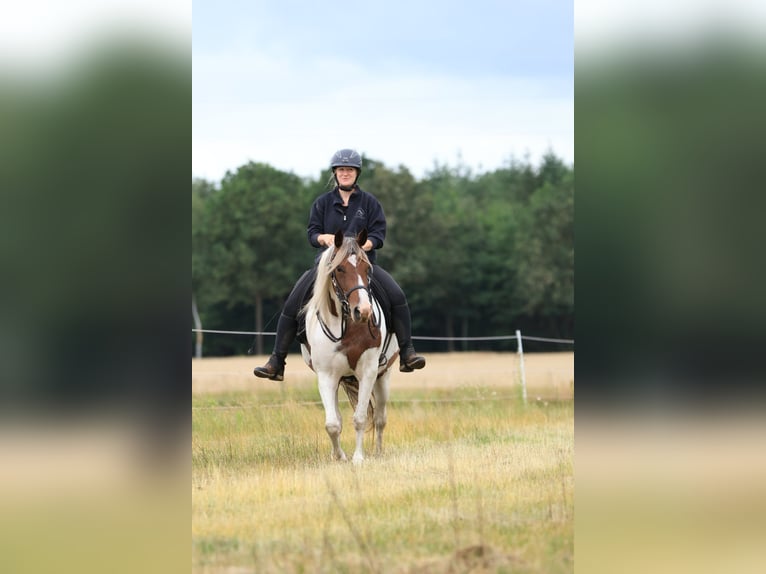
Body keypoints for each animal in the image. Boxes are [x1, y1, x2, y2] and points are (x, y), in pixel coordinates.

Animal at [300, 229, 399, 465]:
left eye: (367, 269)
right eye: (340, 268)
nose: (363, 311)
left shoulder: (368, 372)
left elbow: (360, 418)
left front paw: (358, 458)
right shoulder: (326, 376)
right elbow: (333, 424)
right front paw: (339, 456)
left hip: (384, 376)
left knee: (380, 418)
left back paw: (378, 452)